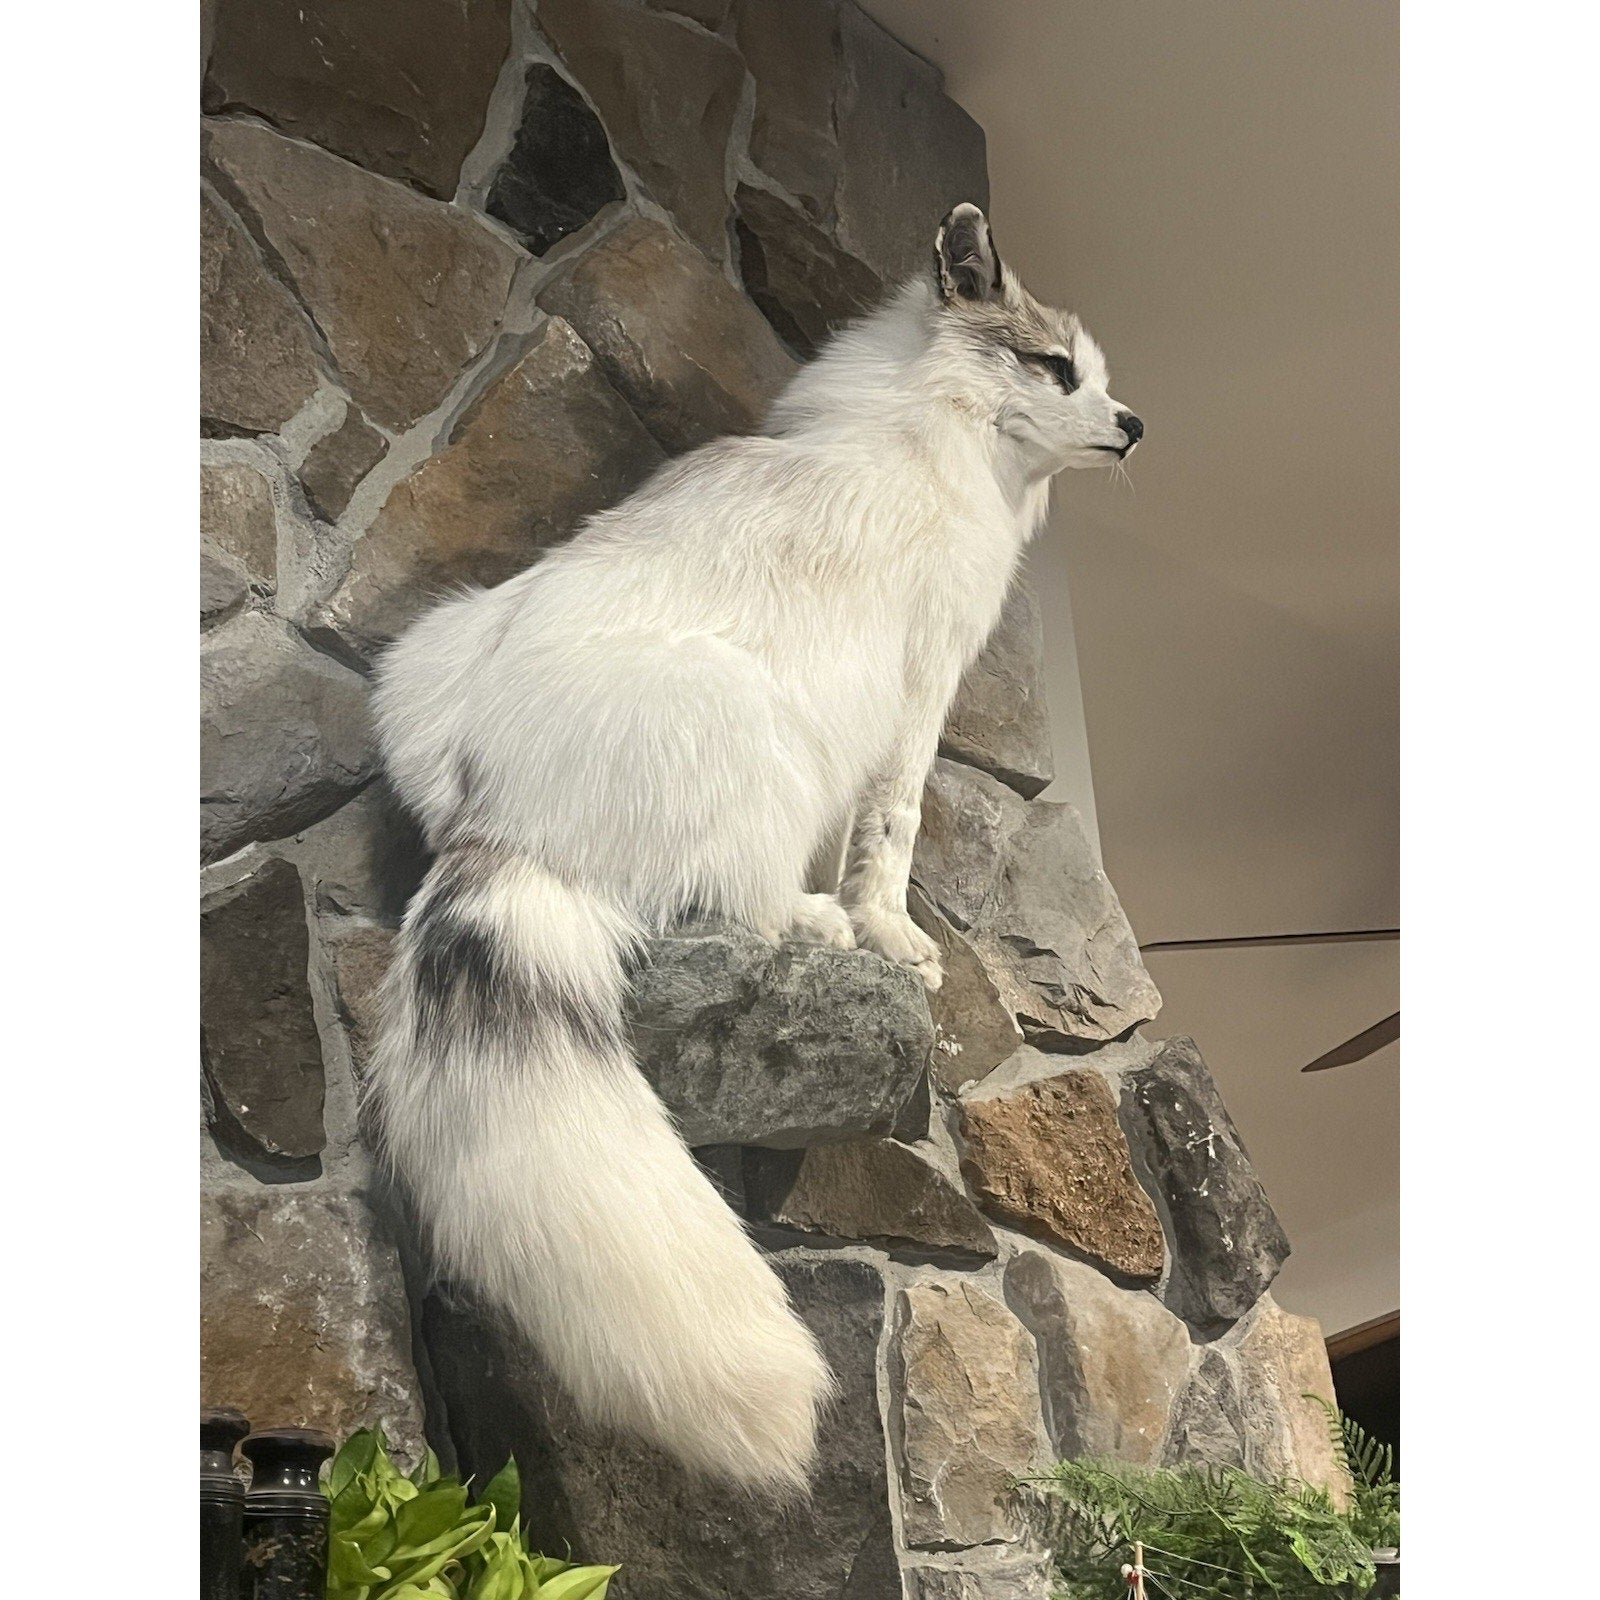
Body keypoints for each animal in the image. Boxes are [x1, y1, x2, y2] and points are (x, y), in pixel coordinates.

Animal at [366, 204, 1142, 1493]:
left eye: (1099, 371)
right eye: (1053, 368)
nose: (1135, 426)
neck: (934, 428)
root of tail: (497, 818)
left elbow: (856, 834)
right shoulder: (915, 691)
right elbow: (893, 830)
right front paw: (891, 933)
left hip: (422, 654)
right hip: (751, 718)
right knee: (731, 900)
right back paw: (819, 928)